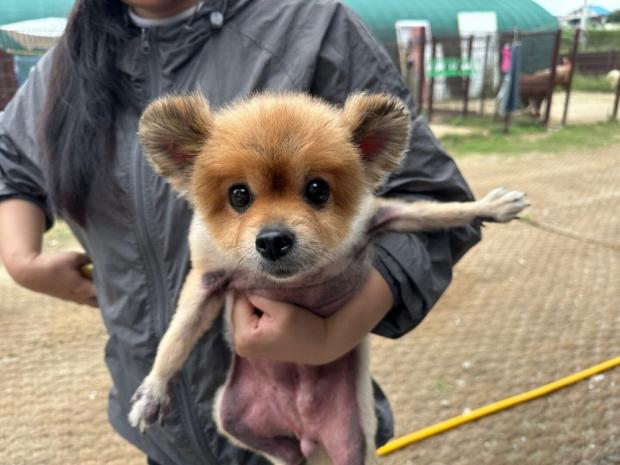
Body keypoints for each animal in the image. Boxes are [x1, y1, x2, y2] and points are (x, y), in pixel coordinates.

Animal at [128, 91, 532, 464]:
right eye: (238, 195)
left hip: (353, 440)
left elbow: (439, 212)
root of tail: (305, 432)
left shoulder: (382, 216)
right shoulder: (208, 280)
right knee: (285, 453)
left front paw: (490, 207)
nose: (272, 240)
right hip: (231, 416)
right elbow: (176, 337)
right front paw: (154, 391)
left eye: (317, 189)